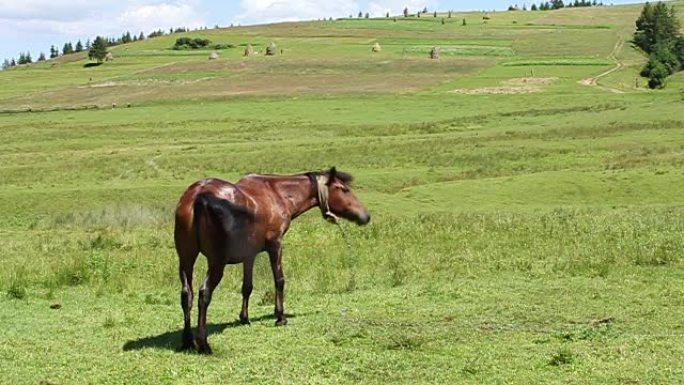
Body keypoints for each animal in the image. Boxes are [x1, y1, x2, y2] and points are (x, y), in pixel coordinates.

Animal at [174, 166, 372, 352]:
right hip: (216, 263)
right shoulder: (276, 245)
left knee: (186, 295)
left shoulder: (249, 255)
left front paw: (244, 318)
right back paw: (203, 344)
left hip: (186, 259)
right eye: (344, 189)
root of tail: (199, 195)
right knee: (204, 293)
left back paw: (187, 341)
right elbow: (279, 280)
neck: (278, 194)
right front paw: (280, 317)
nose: (366, 215)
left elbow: (247, 287)